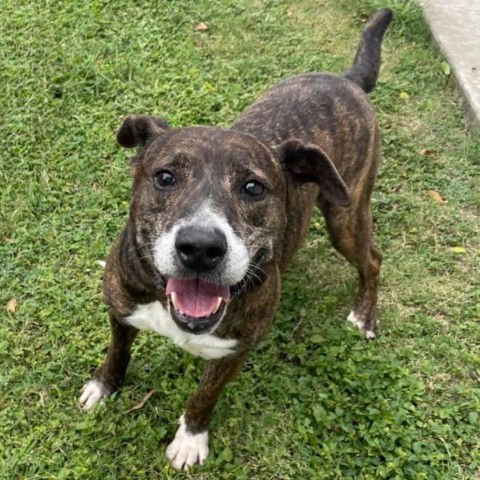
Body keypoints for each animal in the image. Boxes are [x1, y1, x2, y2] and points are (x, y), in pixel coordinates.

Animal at [79, 9, 394, 470]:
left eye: (253, 188)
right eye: (165, 178)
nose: (200, 248)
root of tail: (347, 79)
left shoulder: (235, 352)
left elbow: (204, 395)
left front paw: (191, 438)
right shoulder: (120, 310)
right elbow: (117, 353)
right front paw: (103, 386)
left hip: (346, 216)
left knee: (372, 258)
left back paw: (365, 314)